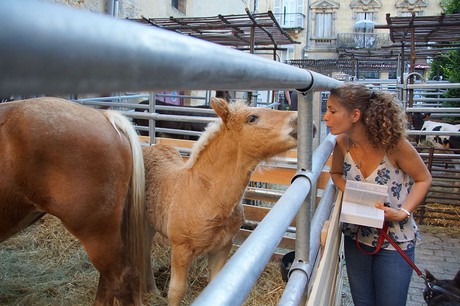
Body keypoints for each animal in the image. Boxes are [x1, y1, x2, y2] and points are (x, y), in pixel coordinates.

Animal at [144, 98, 300, 306]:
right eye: (252, 118)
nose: (299, 120)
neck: (206, 196)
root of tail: (150, 146)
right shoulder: (181, 249)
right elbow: (176, 291)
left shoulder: (222, 247)